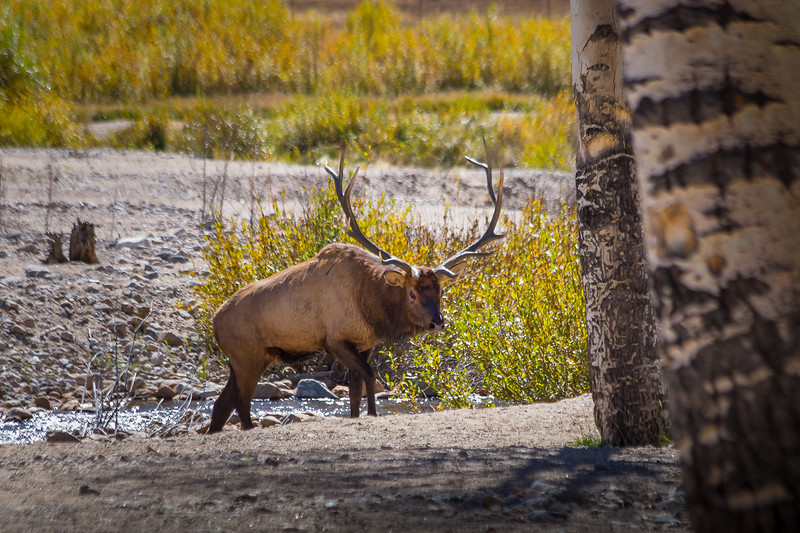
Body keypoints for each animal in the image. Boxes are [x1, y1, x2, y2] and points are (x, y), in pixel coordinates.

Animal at [207, 142, 505, 433]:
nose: (437, 322)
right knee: (242, 406)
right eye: (412, 293)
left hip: (246, 359)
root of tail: (214, 320)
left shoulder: (364, 343)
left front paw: (360, 413)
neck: (371, 306)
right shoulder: (335, 338)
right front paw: (372, 413)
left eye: (440, 291)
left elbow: (354, 391)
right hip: (247, 356)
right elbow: (369, 376)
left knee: (221, 406)